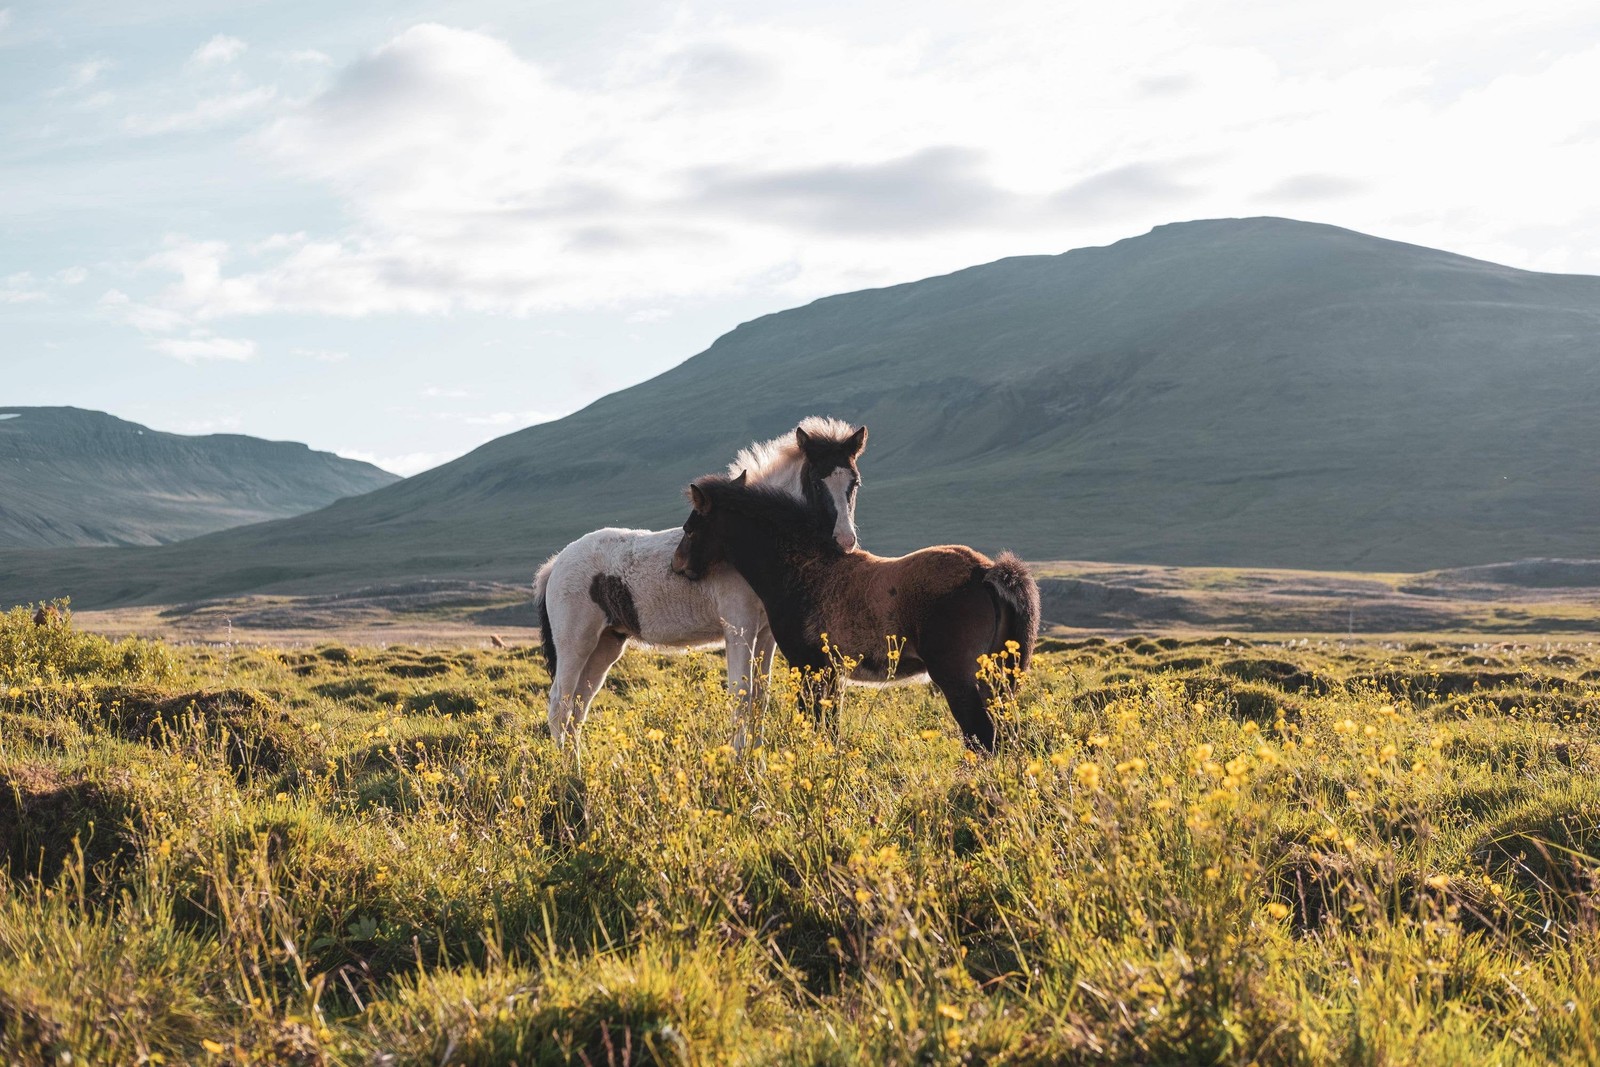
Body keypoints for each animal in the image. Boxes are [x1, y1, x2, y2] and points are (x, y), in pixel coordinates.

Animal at [534, 415, 864, 751]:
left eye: (854, 482)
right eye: (816, 482)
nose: (845, 542)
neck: (749, 547)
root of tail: (555, 564)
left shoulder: (765, 634)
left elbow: (760, 698)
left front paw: (756, 760)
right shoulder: (739, 627)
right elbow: (741, 697)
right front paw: (738, 761)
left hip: (607, 644)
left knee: (578, 707)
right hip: (576, 643)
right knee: (560, 704)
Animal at [672, 470, 1036, 755]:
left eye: (690, 528)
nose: (677, 565)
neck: (802, 569)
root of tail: (987, 571)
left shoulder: (806, 664)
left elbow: (813, 721)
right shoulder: (831, 671)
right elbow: (830, 728)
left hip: (957, 677)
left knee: (983, 737)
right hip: (998, 679)